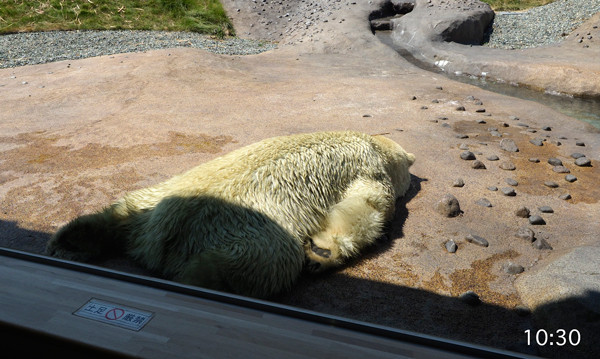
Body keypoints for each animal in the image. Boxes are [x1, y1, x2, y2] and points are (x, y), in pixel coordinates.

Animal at [47, 131, 414, 298]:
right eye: (413, 175)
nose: (415, 176)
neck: (371, 141)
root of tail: (164, 230)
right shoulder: (369, 170)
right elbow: (367, 208)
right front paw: (322, 252)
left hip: (158, 193)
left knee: (124, 210)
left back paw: (73, 239)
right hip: (248, 230)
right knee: (261, 261)